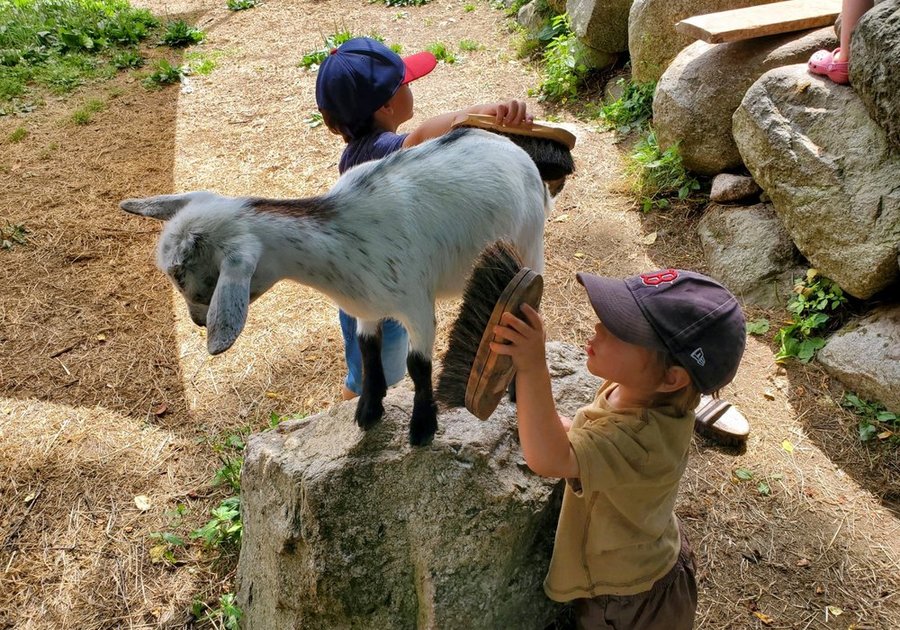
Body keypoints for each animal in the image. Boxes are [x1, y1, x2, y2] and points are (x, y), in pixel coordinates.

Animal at [123, 127, 552, 444]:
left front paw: (421, 428)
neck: (342, 240)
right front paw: (368, 411)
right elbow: (368, 351)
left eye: (196, 279)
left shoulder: (416, 305)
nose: (198, 322)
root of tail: (513, 148)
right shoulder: (365, 310)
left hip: (529, 244)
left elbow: (417, 366)